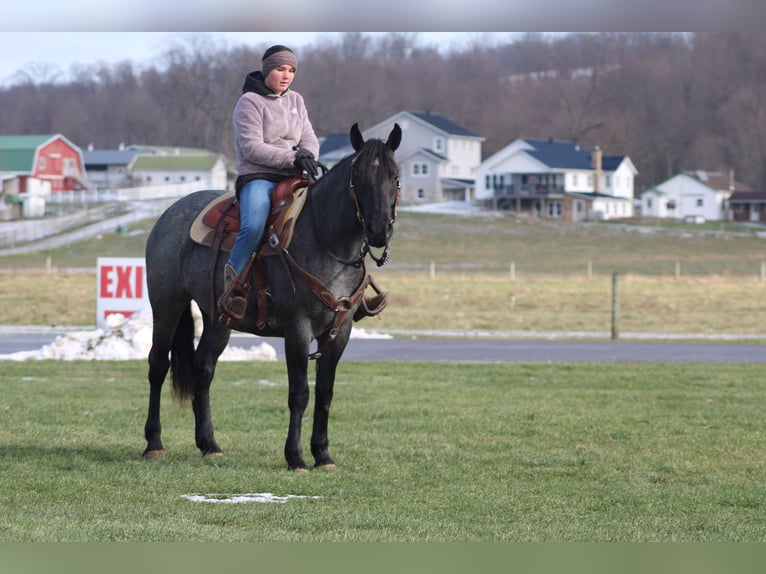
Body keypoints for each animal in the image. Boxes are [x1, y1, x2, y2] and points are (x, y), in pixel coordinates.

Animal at [142, 122, 402, 471]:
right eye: (357, 177)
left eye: (394, 176)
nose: (378, 230)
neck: (326, 241)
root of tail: (167, 215)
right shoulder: (298, 330)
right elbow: (300, 394)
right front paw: (296, 457)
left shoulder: (340, 332)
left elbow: (325, 393)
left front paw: (323, 454)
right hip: (166, 306)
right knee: (158, 365)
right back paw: (154, 443)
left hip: (218, 319)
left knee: (203, 368)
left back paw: (209, 444)